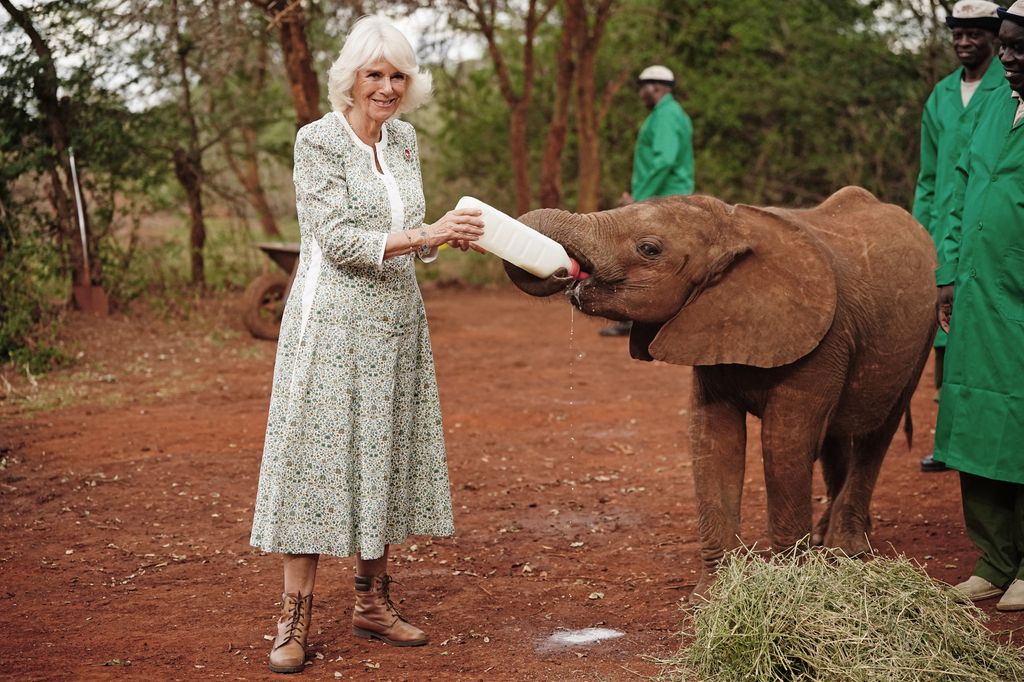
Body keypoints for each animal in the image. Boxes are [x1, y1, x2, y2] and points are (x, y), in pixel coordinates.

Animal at [504, 186, 938, 600]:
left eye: (649, 249)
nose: (565, 271)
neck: (733, 228)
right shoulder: (710, 324)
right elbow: (713, 439)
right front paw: (712, 597)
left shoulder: (822, 343)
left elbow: (784, 444)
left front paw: (788, 589)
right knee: (835, 438)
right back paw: (827, 538)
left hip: (921, 337)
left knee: (875, 435)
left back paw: (846, 549)